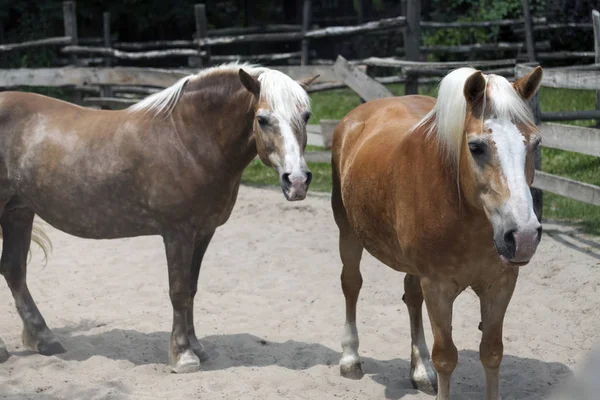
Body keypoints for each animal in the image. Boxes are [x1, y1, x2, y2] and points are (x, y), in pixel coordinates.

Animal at [0, 61, 318, 372]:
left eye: (306, 116)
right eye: (262, 119)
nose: (297, 181)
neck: (187, 139)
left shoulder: (203, 232)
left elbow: (190, 289)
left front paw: (196, 347)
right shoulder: (177, 232)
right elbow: (177, 291)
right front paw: (183, 355)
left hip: (19, 211)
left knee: (14, 270)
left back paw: (44, 339)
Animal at [332, 66, 544, 400]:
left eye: (535, 144)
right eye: (476, 147)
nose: (523, 236)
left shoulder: (500, 285)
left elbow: (492, 352)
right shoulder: (439, 288)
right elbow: (445, 357)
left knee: (411, 297)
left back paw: (420, 371)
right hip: (348, 234)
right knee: (351, 284)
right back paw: (350, 358)